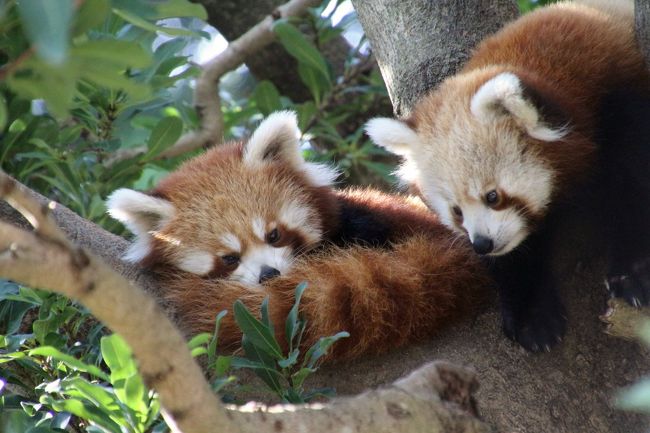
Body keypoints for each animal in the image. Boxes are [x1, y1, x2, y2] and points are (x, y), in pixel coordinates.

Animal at [364, 0, 648, 352]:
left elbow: (633, 187)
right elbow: (515, 255)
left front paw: (633, 272)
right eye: (456, 212)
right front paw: (531, 315)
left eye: (493, 196)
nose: (482, 244)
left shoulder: (621, 98)